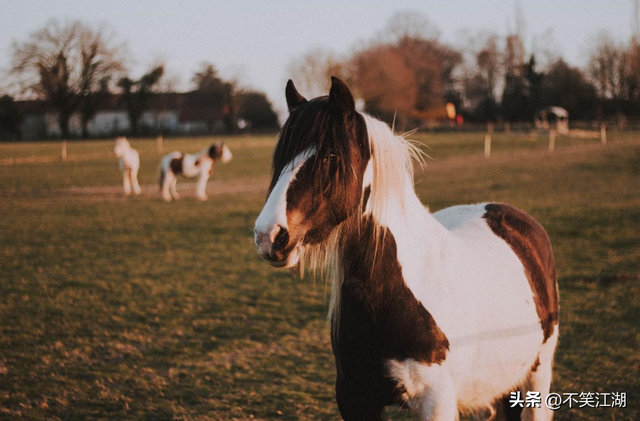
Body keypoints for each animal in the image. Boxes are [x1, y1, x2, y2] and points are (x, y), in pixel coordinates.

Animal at [255, 76, 560, 420]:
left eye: (331, 155)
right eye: (281, 158)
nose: (269, 235)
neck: (396, 290)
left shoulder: (437, 402)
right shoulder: (355, 400)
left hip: (537, 376)